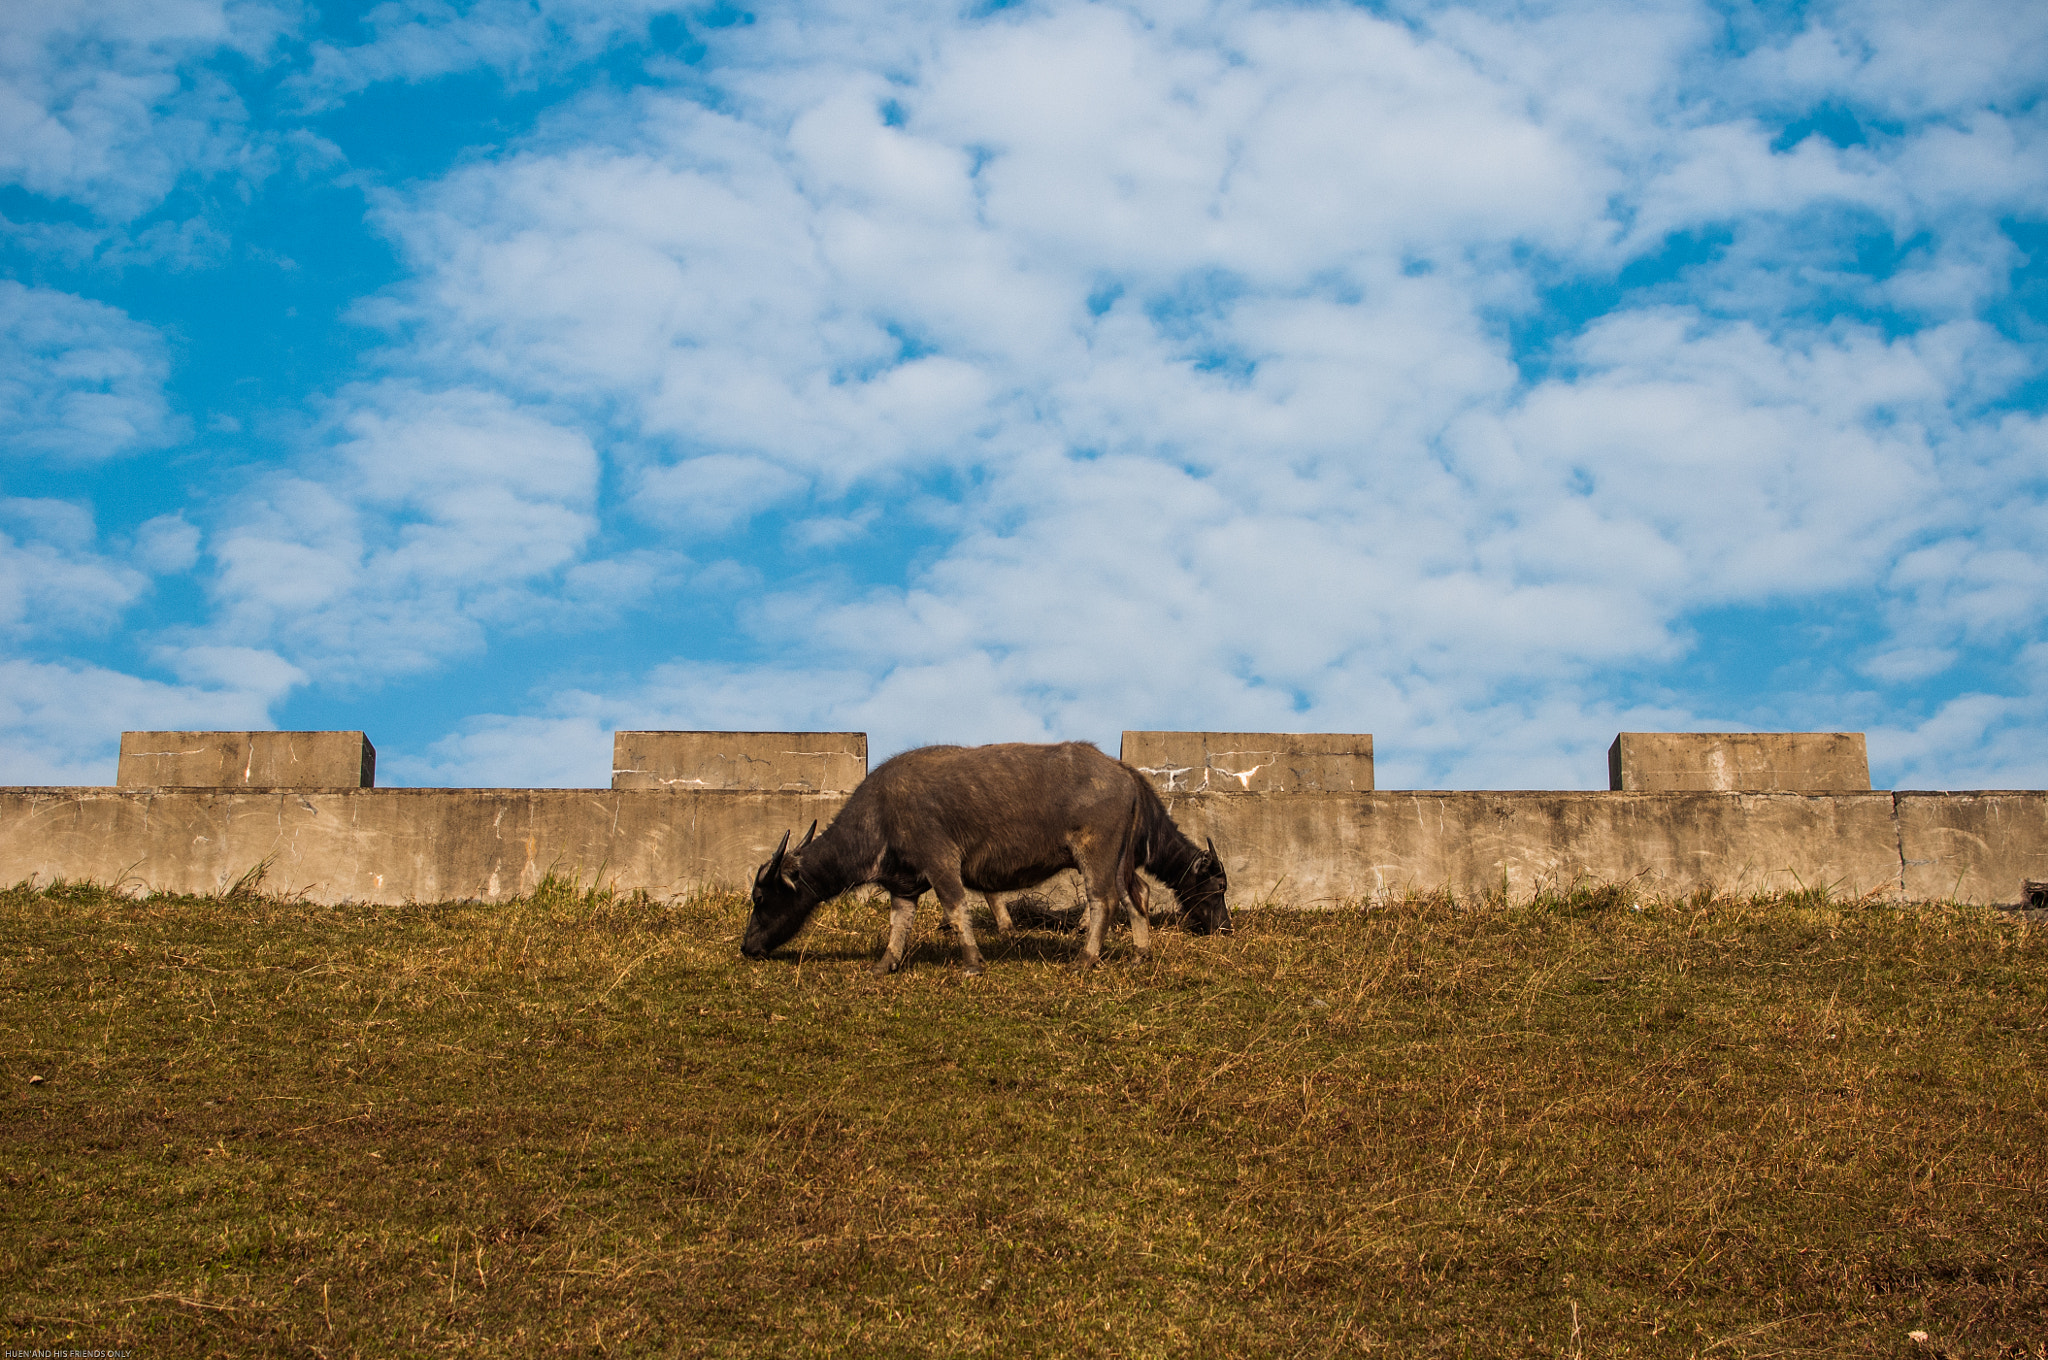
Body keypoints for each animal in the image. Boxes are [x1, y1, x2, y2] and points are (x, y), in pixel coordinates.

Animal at [749, 737, 1228, 970]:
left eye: (760, 897)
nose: (746, 945)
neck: (883, 811)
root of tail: (1123, 772)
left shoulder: (941, 863)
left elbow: (957, 907)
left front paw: (973, 962)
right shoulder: (904, 883)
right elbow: (899, 924)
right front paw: (885, 964)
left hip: (1096, 855)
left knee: (1103, 901)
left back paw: (1085, 959)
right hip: (1121, 860)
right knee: (1137, 896)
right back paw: (1139, 955)